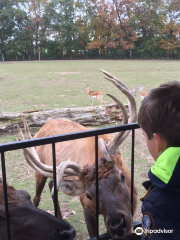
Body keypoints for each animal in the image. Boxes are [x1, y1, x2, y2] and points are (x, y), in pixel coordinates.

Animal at [17, 69, 137, 238]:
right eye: (88, 194)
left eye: (122, 176)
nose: (118, 226)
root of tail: (43, 126)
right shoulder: (87, 208)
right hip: (38, 172)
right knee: (36, 196)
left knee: (52, 186)